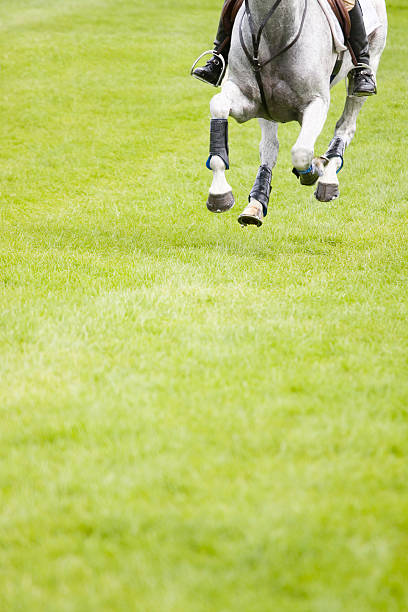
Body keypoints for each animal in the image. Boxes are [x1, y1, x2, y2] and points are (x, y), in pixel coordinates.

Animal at [206, 0, 388, 226]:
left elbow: (301, 153)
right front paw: (219, 194)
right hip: (267, 110)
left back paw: (328, 179)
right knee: (269, 147)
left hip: (370, 62)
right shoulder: (248, 101)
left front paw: (316, 169)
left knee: (346, 126)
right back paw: (256, 203)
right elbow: (218, 105)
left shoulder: (317, 102)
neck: (273, 32)